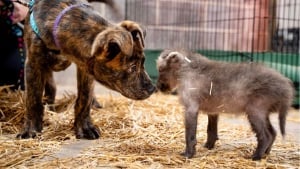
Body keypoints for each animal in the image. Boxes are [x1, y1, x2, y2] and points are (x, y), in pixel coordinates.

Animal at [17, 0, 155, 139]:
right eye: (132, 68)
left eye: (143, 61)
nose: (152, 89)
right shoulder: (33, 63)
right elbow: (33, 99)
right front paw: (31, 130)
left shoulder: (85, 67)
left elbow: (84, 98)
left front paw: (84, 128)